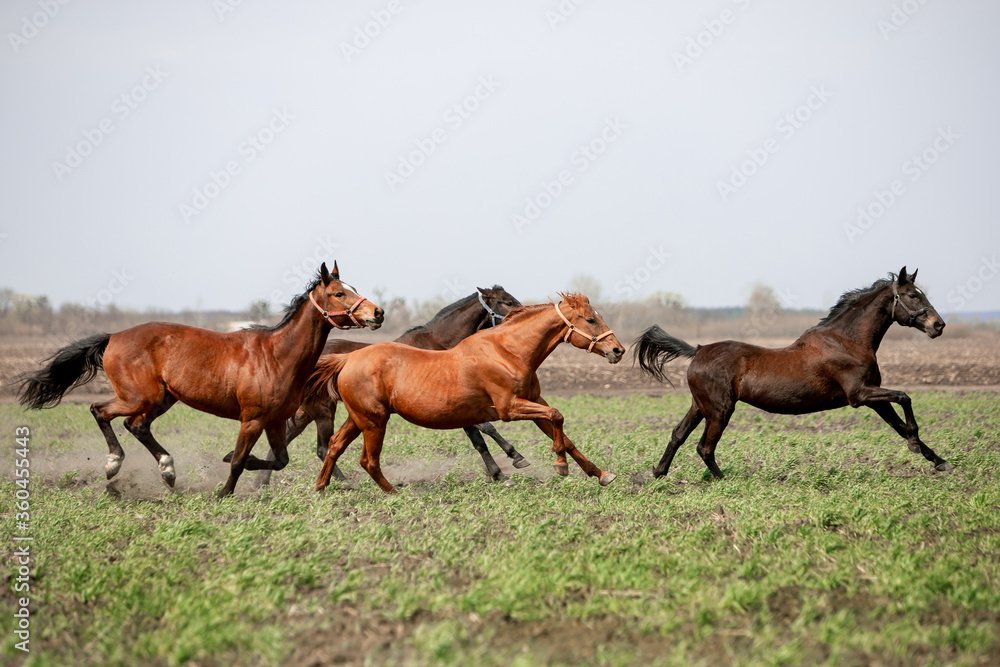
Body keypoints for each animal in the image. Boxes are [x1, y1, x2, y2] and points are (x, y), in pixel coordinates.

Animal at [20, 260, 386, 496]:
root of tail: (113, 338)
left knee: (136, 426)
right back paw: (114, 464)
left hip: (162, 399)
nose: (377, 313)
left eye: (353, 288)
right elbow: (238, 461)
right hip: (138, 396)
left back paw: (167, 471)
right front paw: (223, 492)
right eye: (339, 293)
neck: (277, 356)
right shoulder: (252, 420)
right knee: (100, 411)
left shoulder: (274, 420)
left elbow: (279, 460)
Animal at [250, 284, 528, 488]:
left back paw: (261, 482)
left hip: (309, 411)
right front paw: (513, 460)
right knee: (319, 446)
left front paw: (500, 471)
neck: (438, 345)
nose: (525, 314)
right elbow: (485, 430)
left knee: (290, 439)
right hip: (324, 409)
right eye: (507, 301)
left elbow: (481, 436)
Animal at [314, 294, 624, 496]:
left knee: (334, 445)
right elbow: (556, 417)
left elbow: (563, 433)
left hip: (358, 418)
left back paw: (321, 487)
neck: (508, 352)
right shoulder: (509, 409)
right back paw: (394, 493)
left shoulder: (535, 403)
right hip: (373, 421)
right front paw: (559, 465)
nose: (617, 350)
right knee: (367, 460)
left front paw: (601, 474)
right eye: (590, 319)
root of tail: (346, 359)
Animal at [632, 266, 952, 480]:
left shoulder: (874, 398)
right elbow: (905, 398)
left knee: (678, 435)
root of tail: (698, 350)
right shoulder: (859, 394)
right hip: (720, 409)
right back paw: (725, 481)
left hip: (700, 406)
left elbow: (898, 424)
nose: (938, 325)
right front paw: (917, 445)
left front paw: (939, 460)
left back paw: (658, 473)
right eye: (911, 295)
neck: (847, 341)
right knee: (704, 447)